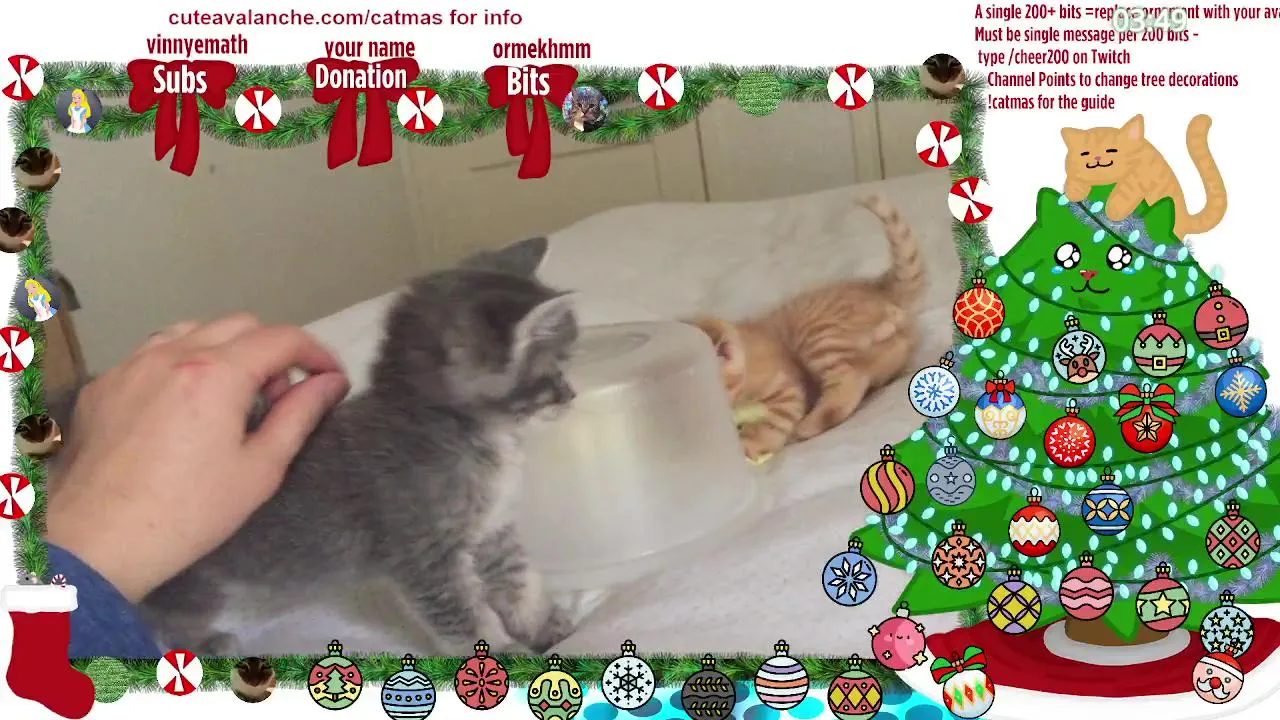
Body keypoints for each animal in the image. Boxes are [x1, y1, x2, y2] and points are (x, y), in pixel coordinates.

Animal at [47, 237, 581, 658]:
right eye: (554, 373)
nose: (572, 395)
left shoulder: (493, 531)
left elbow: (519, 582)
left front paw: (547, 627)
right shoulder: (423, 553)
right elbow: (464, 618)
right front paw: (501, 658)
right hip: (187, 577)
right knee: (158, 615)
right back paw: (204, 644)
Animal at [689, 194, 925, 461]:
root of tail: (877, 287)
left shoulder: (785, 389)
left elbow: (767, 426)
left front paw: (746, 449)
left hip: (816, 335)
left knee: (849, 381)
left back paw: (809, 425)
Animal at [1061, 114, 1226, 238]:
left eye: (1112, 150)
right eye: (1085, 153)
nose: (1097, 157)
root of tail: (1185, 217)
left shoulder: (1139, 178)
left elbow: (1124, 191)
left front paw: (1113, 211)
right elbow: (1074, 179)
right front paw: (1074, 192)